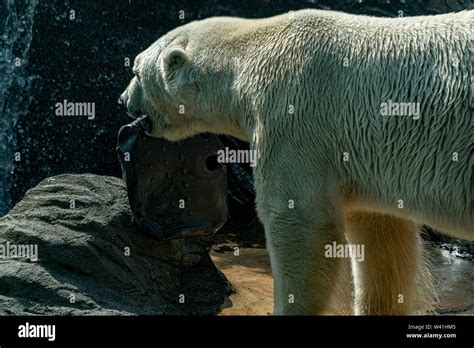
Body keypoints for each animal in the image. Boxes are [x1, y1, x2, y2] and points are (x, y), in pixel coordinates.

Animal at [119, 10, 474, 316]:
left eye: (135, 70)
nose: (122, 100)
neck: (249, 55)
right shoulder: (367, 155)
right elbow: (381, 236)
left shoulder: (292, 117)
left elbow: (298, 220)